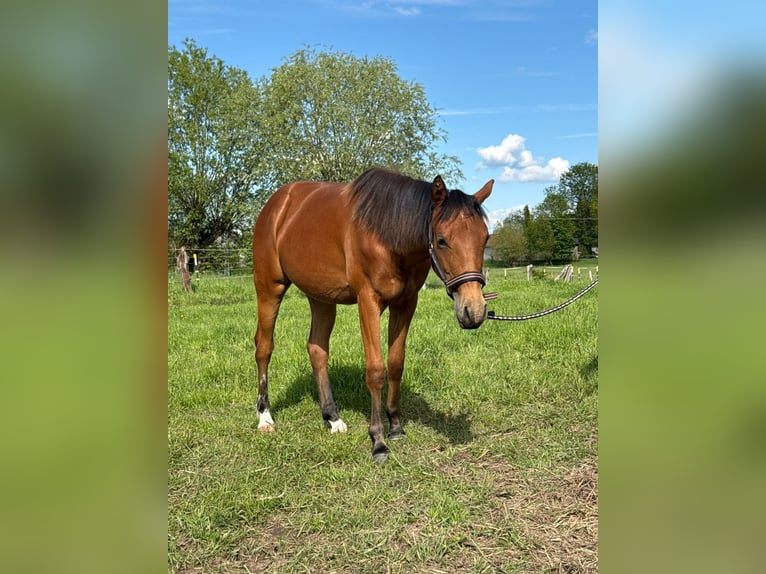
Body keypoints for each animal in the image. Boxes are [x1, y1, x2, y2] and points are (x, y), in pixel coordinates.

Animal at [252, 168, 494, 462]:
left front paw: (396, 427)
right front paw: (378, 440)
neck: (387, 234)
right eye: (441, 240)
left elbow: (396, 363)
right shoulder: (368, 300)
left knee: (317, 349)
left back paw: (332, 418)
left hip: (320, 297)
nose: (474, 311)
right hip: (269, 288)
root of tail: (276, 205)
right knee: (264, 347)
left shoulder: (406, 302)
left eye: (485, 238)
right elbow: (376, 369)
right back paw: (265, 417)